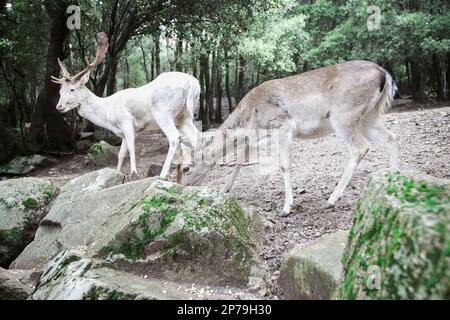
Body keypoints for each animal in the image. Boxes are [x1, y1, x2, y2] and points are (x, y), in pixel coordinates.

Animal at [51, 33, 200, 180]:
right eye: (60, 91)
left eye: (72, 89)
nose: (59, 106)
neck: (107, 115)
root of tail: (193, 83)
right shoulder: (121, 133)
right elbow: (121, 154)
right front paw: (117, 174)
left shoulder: (126, 121)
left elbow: (131, 148)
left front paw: (134, 173)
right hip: (183, 115)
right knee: (195, 135)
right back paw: (192, 168)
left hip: (163, 112)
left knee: (175, 138)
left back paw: (163, 174)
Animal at [178, 60, 400, 215]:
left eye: (185, 168)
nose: (180, 186)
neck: (250, 116)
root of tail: (384, 74)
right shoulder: (258, 137)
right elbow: (241, 159)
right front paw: (225, 189)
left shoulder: (283, 125)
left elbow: (283, 164)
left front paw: (286, 207)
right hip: (369, 116)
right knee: (391, 137)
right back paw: (392, 181)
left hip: (345, 116)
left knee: (361, 147)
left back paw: (332, 199)